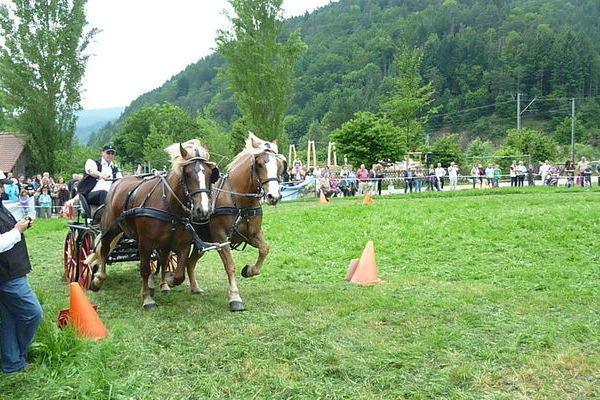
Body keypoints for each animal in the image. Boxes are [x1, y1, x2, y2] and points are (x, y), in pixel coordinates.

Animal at [86, 140, 220, 310]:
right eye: (187, 174)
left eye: (210, 174)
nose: (203, 210)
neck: (169, 205)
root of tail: (117, 182)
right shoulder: (145, 243)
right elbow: (144, 269)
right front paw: (147, 298)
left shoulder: (183, 244)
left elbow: (179, 274)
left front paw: (167, 282)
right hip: (110, 229)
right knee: (103, 250)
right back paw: (98, 279)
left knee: (162, 260)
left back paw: (162, 284)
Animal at [178, 134, 286, 312]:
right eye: (260, 164)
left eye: (279, 164)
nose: (273, 196)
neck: (239, 200)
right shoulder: (221, 238)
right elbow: (230, 265)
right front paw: (235, 298)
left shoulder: (252, 235)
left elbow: (264, 249)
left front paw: (249, 270)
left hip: (201, 243)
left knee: (190, 263)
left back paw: (195, 288)